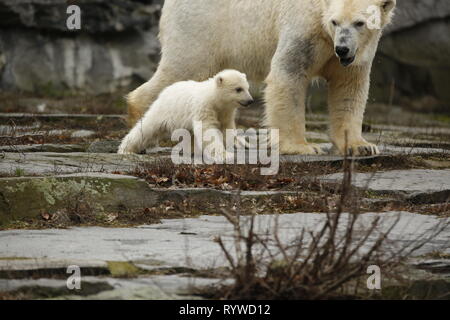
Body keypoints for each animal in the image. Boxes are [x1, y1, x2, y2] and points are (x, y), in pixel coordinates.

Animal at [125, 0, 394, 155]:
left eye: (360, 23)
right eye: (335, 21)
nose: (343, 49)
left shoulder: (356, 53)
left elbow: (349, 87)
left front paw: (361, 146)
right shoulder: (304, 27)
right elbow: (288, 75)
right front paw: (303, 147)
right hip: (201, 26)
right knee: (183, 70)